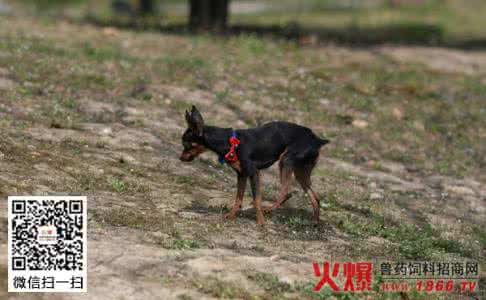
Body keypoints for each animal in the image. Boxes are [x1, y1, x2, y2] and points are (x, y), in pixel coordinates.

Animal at [179, 105, 330, 225]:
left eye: (187, 145)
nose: (180, 158)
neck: (230, 142)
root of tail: (316, 139)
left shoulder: (253, 172)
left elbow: (256, 200)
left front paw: (260, 222)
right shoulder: (242, 174)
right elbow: (238, 198)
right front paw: (231, 216)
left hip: (286, 161)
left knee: (286, 191)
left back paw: (269, 209)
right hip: (301, 171)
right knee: (315, 197)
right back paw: (315, 222)